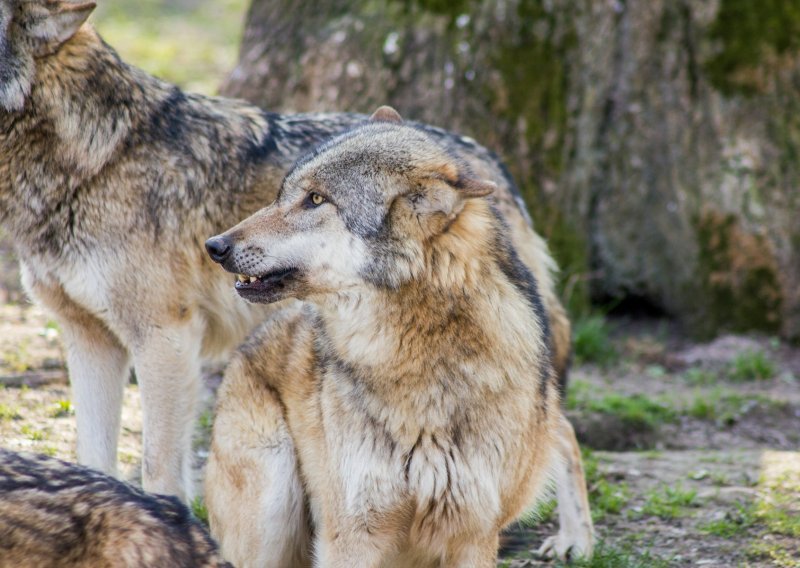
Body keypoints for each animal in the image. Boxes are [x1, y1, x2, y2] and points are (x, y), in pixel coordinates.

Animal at [0, 0, 576, 500]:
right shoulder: (88, 338)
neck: (94, 159)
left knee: (562, 432)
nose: (215, 246)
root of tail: (487, 163)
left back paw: (570, 542)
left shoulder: (164, 338)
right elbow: (93, 456)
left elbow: (158, 467)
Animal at [203, 107, 592, 568]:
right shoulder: (353, 534)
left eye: (315, 199)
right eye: (283, 195)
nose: (214, 246)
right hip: (270, 516)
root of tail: (249, 344)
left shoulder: (474, 534)